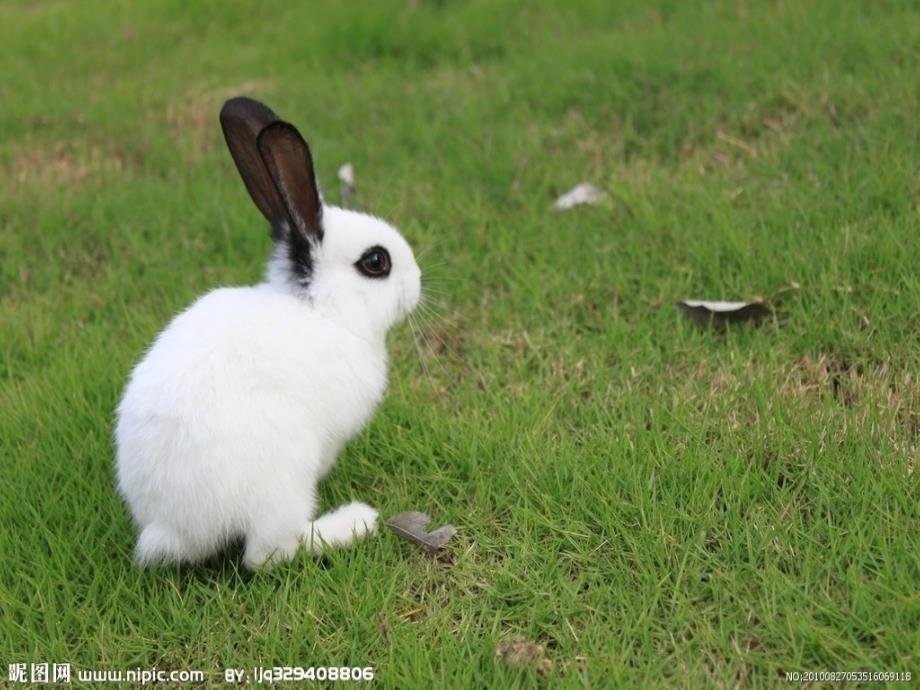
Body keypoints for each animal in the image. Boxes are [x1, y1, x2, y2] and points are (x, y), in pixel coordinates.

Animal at [112, 98, 424, 568]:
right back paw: (353, 523)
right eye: (376, 262)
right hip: (284, 479)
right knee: (268, 553)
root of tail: (174, 527)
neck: (324, 312)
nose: (418, 282)